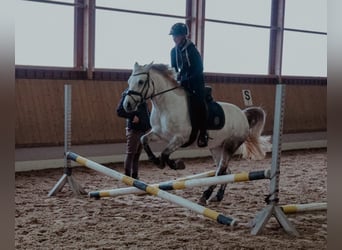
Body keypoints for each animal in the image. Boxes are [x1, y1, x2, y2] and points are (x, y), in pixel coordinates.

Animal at [124, 62, 272, 205]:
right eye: (129, 81)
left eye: (141, 82)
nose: (127, 105)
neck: (165, 106)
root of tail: (242, 114)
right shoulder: (158, 134)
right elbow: (144, 139)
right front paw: (156, 161)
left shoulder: (180, 138)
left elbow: (165, 154)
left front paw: (176, 164)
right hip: (216, 147)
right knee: (225, 171)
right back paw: (218, 196)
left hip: (230, 145)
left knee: (221, 170)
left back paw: (205, 195)